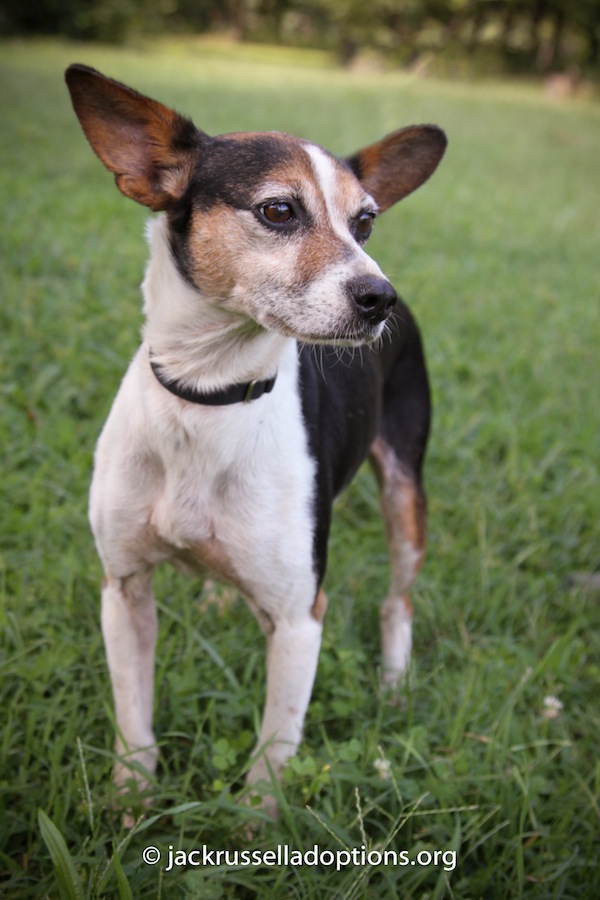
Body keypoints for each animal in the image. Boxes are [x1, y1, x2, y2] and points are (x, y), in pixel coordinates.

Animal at [65, 65, 446, 816]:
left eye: (365, 221)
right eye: (278, 211)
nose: (378, 297)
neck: (210, 394)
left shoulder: (301, 620)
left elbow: (275, 747)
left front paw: (254, 823)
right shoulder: (123, 589)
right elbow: (133, 716)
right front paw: (130, 801)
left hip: (405, 492)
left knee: (399, 600)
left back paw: (394, 683)